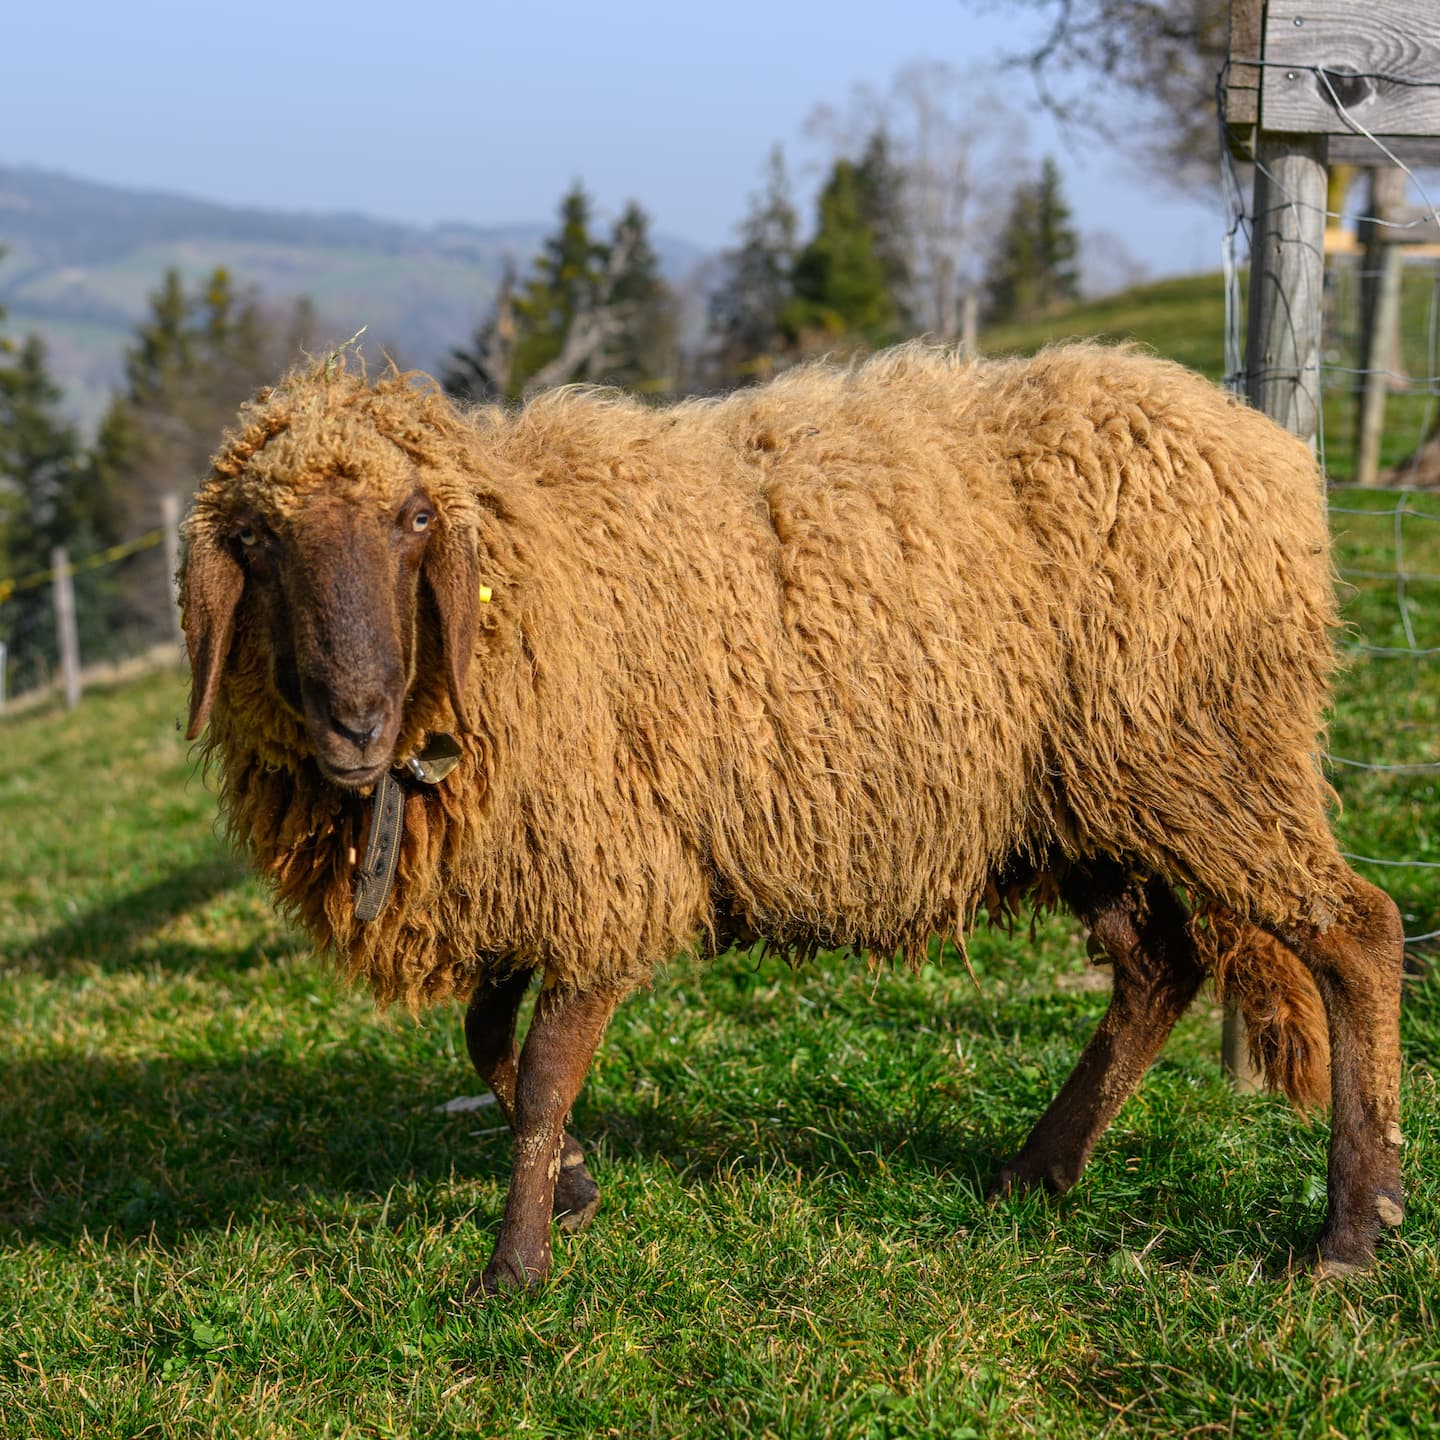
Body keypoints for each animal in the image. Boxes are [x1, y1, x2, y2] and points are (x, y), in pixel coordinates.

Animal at [180, 342, 1405, 1295]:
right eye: (254, 543)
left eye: (416, 517)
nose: (355, 720)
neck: (519, 575)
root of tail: (1268, 450)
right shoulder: (539, 871)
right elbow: (489, 1044)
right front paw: (573, 1188)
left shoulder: (609, 867)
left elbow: (536, 1078)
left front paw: (513, 1268)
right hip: (1085, 806)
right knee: (1159, 966)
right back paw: (1039, 1172)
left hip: (1205, 755)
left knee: (1355, 933)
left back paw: (1353, 1227)